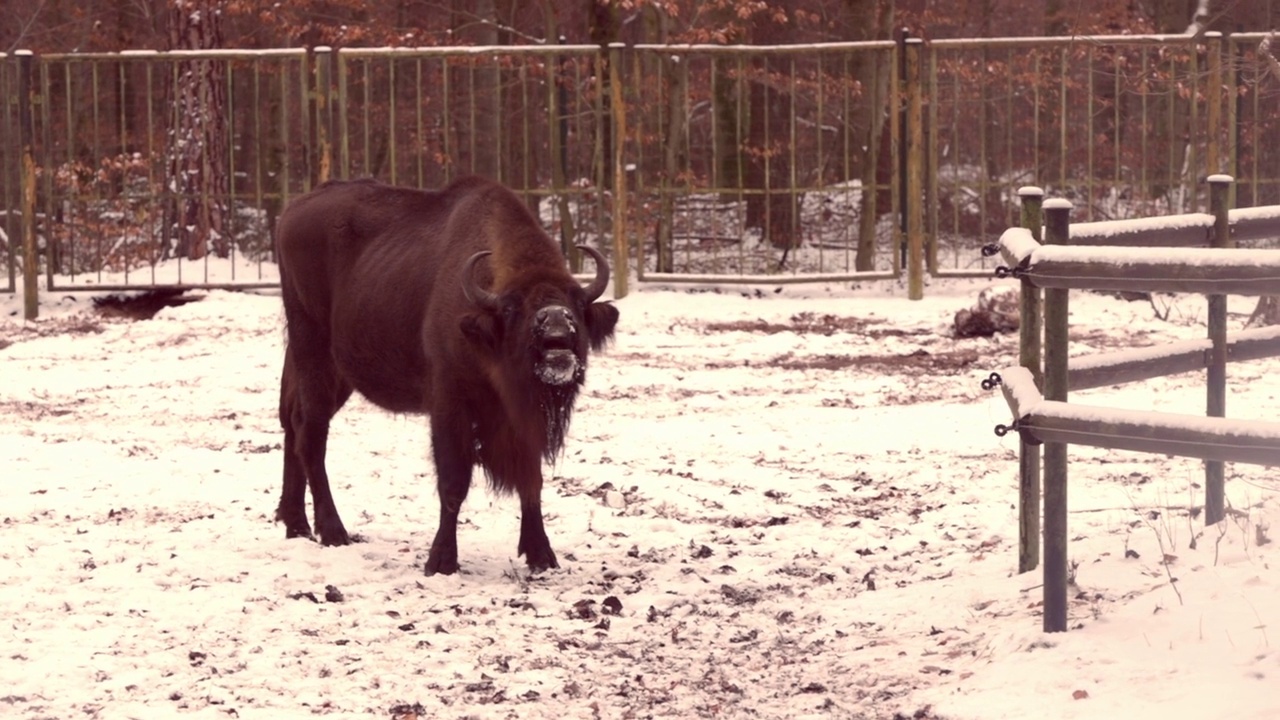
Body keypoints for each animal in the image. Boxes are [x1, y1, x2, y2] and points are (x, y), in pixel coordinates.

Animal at [273, 174, 619, 571]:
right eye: (513, 308)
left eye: (575, 303)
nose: (557, 333)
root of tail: (291, 212)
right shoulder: (450, 404)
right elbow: (453, 482)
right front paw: (441, 560)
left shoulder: (524, 417)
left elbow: (531, 480)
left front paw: (541, 554)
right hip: (313, 352)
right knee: (311, 434)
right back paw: (333, 532)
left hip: (336, 373)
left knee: (292, 423)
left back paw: (296, 525)